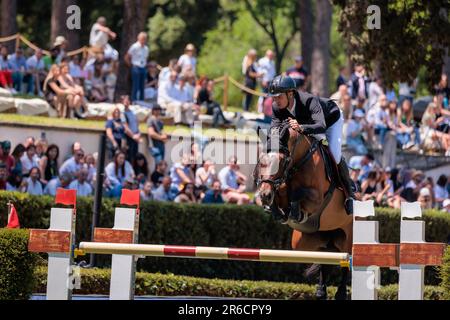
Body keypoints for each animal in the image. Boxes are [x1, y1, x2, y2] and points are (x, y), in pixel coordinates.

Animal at [255, 128, 354, 300]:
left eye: (282, 161)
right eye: (261, 161)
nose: (265, 195)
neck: (299, 161)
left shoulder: (317, 198)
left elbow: (298, 193)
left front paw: (295, 213)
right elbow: (282, 192)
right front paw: (276, 210)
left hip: (347, 239)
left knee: (345, 264)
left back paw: (340, 293)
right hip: (306, 243)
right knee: (323, 260)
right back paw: (321, 291)